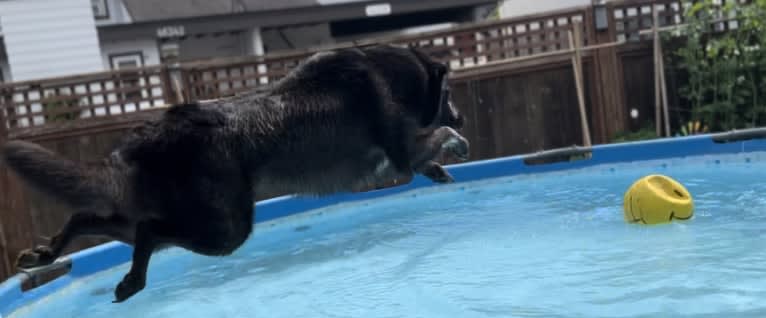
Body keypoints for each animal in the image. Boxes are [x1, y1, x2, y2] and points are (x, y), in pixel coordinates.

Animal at [1, 43, 468, 302]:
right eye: (449, 93)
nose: (462, 116)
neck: (389, 73)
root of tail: (154, 134)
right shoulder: (400, 152)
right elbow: (433, 137)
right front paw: (455, 143)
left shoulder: (390, 164)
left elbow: (424, 158)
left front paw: (439, 170)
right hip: (226, 230)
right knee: (149, 231)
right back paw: (130, 281)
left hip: (166, 219)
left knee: (91, 218)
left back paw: (46, 255)